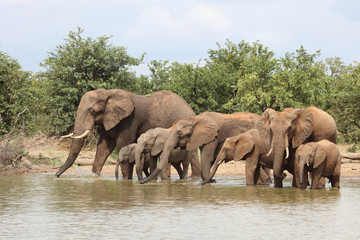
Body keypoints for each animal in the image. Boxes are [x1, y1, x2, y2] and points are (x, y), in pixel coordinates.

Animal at [56, 89, 202, 177]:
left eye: (92, 111)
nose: (56, 175)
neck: (108, 93)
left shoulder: (129, 120)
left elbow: (122, 144)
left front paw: (126, 179)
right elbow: (103, 147)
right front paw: (95, 176)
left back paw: (193, 178)